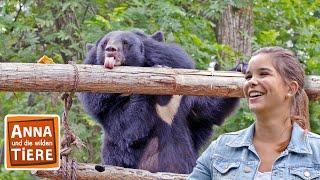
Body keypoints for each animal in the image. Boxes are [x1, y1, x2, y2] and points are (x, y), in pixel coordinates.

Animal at [79, 30, 244, 174]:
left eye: (125, 43)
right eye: (104, 43)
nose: (111, 50)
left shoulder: (181, 98)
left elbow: (206, 110)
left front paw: (240, 67)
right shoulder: (104, 104)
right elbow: (126, 127)